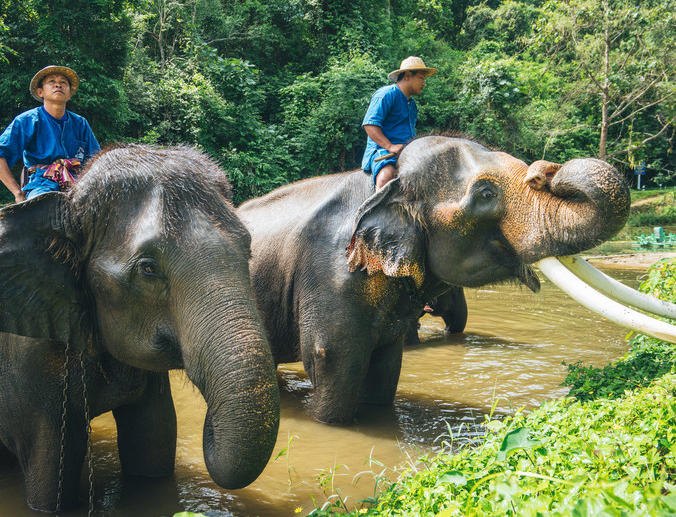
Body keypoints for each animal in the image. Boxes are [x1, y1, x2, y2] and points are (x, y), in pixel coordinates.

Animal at [0, 145, 280, 512]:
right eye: (148, 269)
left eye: (248, 248)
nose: (209, 425)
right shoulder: (31, 376)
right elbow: (50, 486)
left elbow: (152, 447)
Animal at [236, 134, 628, 424]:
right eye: (486, 194)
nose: (546, 172)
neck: (391, 183)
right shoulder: (333, 274)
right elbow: (332, 361)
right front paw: (328, 423)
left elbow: (385, 369)